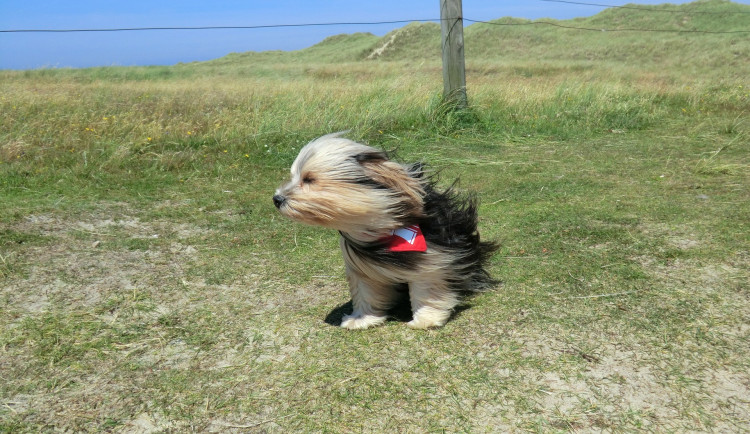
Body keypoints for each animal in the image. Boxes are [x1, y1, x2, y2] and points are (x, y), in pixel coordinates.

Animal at [274, 132, 496, 328]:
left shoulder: (434, 257)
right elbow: (365, 291)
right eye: (294, 177)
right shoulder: (361, 268)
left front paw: (426, 319)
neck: (381, 227)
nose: (277, 199)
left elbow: (426, 287)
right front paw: (362, 319)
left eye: (309, 179)